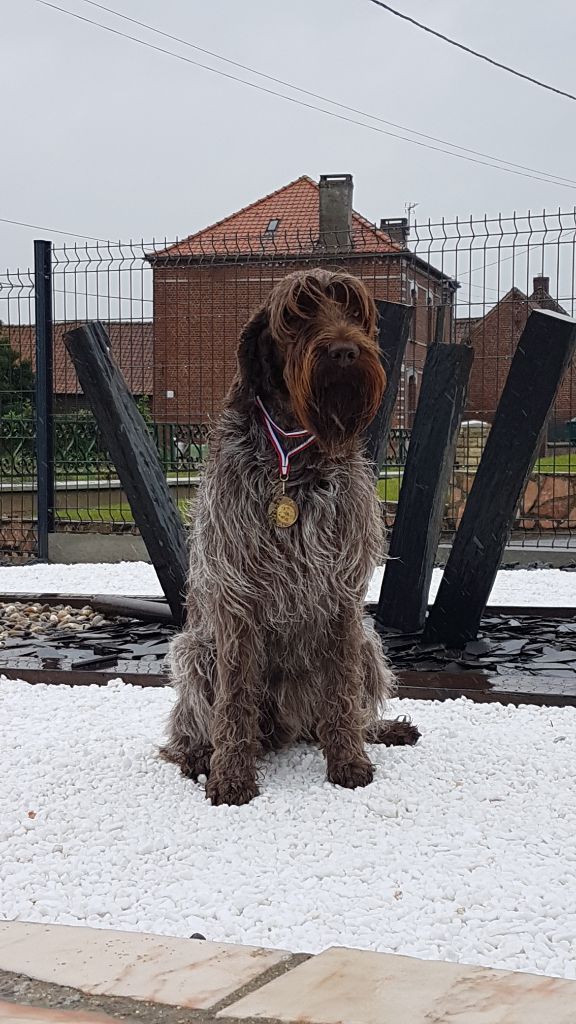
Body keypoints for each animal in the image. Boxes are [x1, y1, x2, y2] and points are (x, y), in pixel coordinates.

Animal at [158, 266, 420, 806]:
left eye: (355, 312)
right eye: (298, 315)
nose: (344, 351)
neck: (295, 465)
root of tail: (291, 728)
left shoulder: (343, 597)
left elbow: (342, 692)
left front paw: (348, 759)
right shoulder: (238, 595)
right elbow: (236, 698)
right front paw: (231, 774)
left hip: (367, 642)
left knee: (342, 705)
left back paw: (378, 730)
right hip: (197, 652)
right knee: (191, 725)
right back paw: (200, 754)